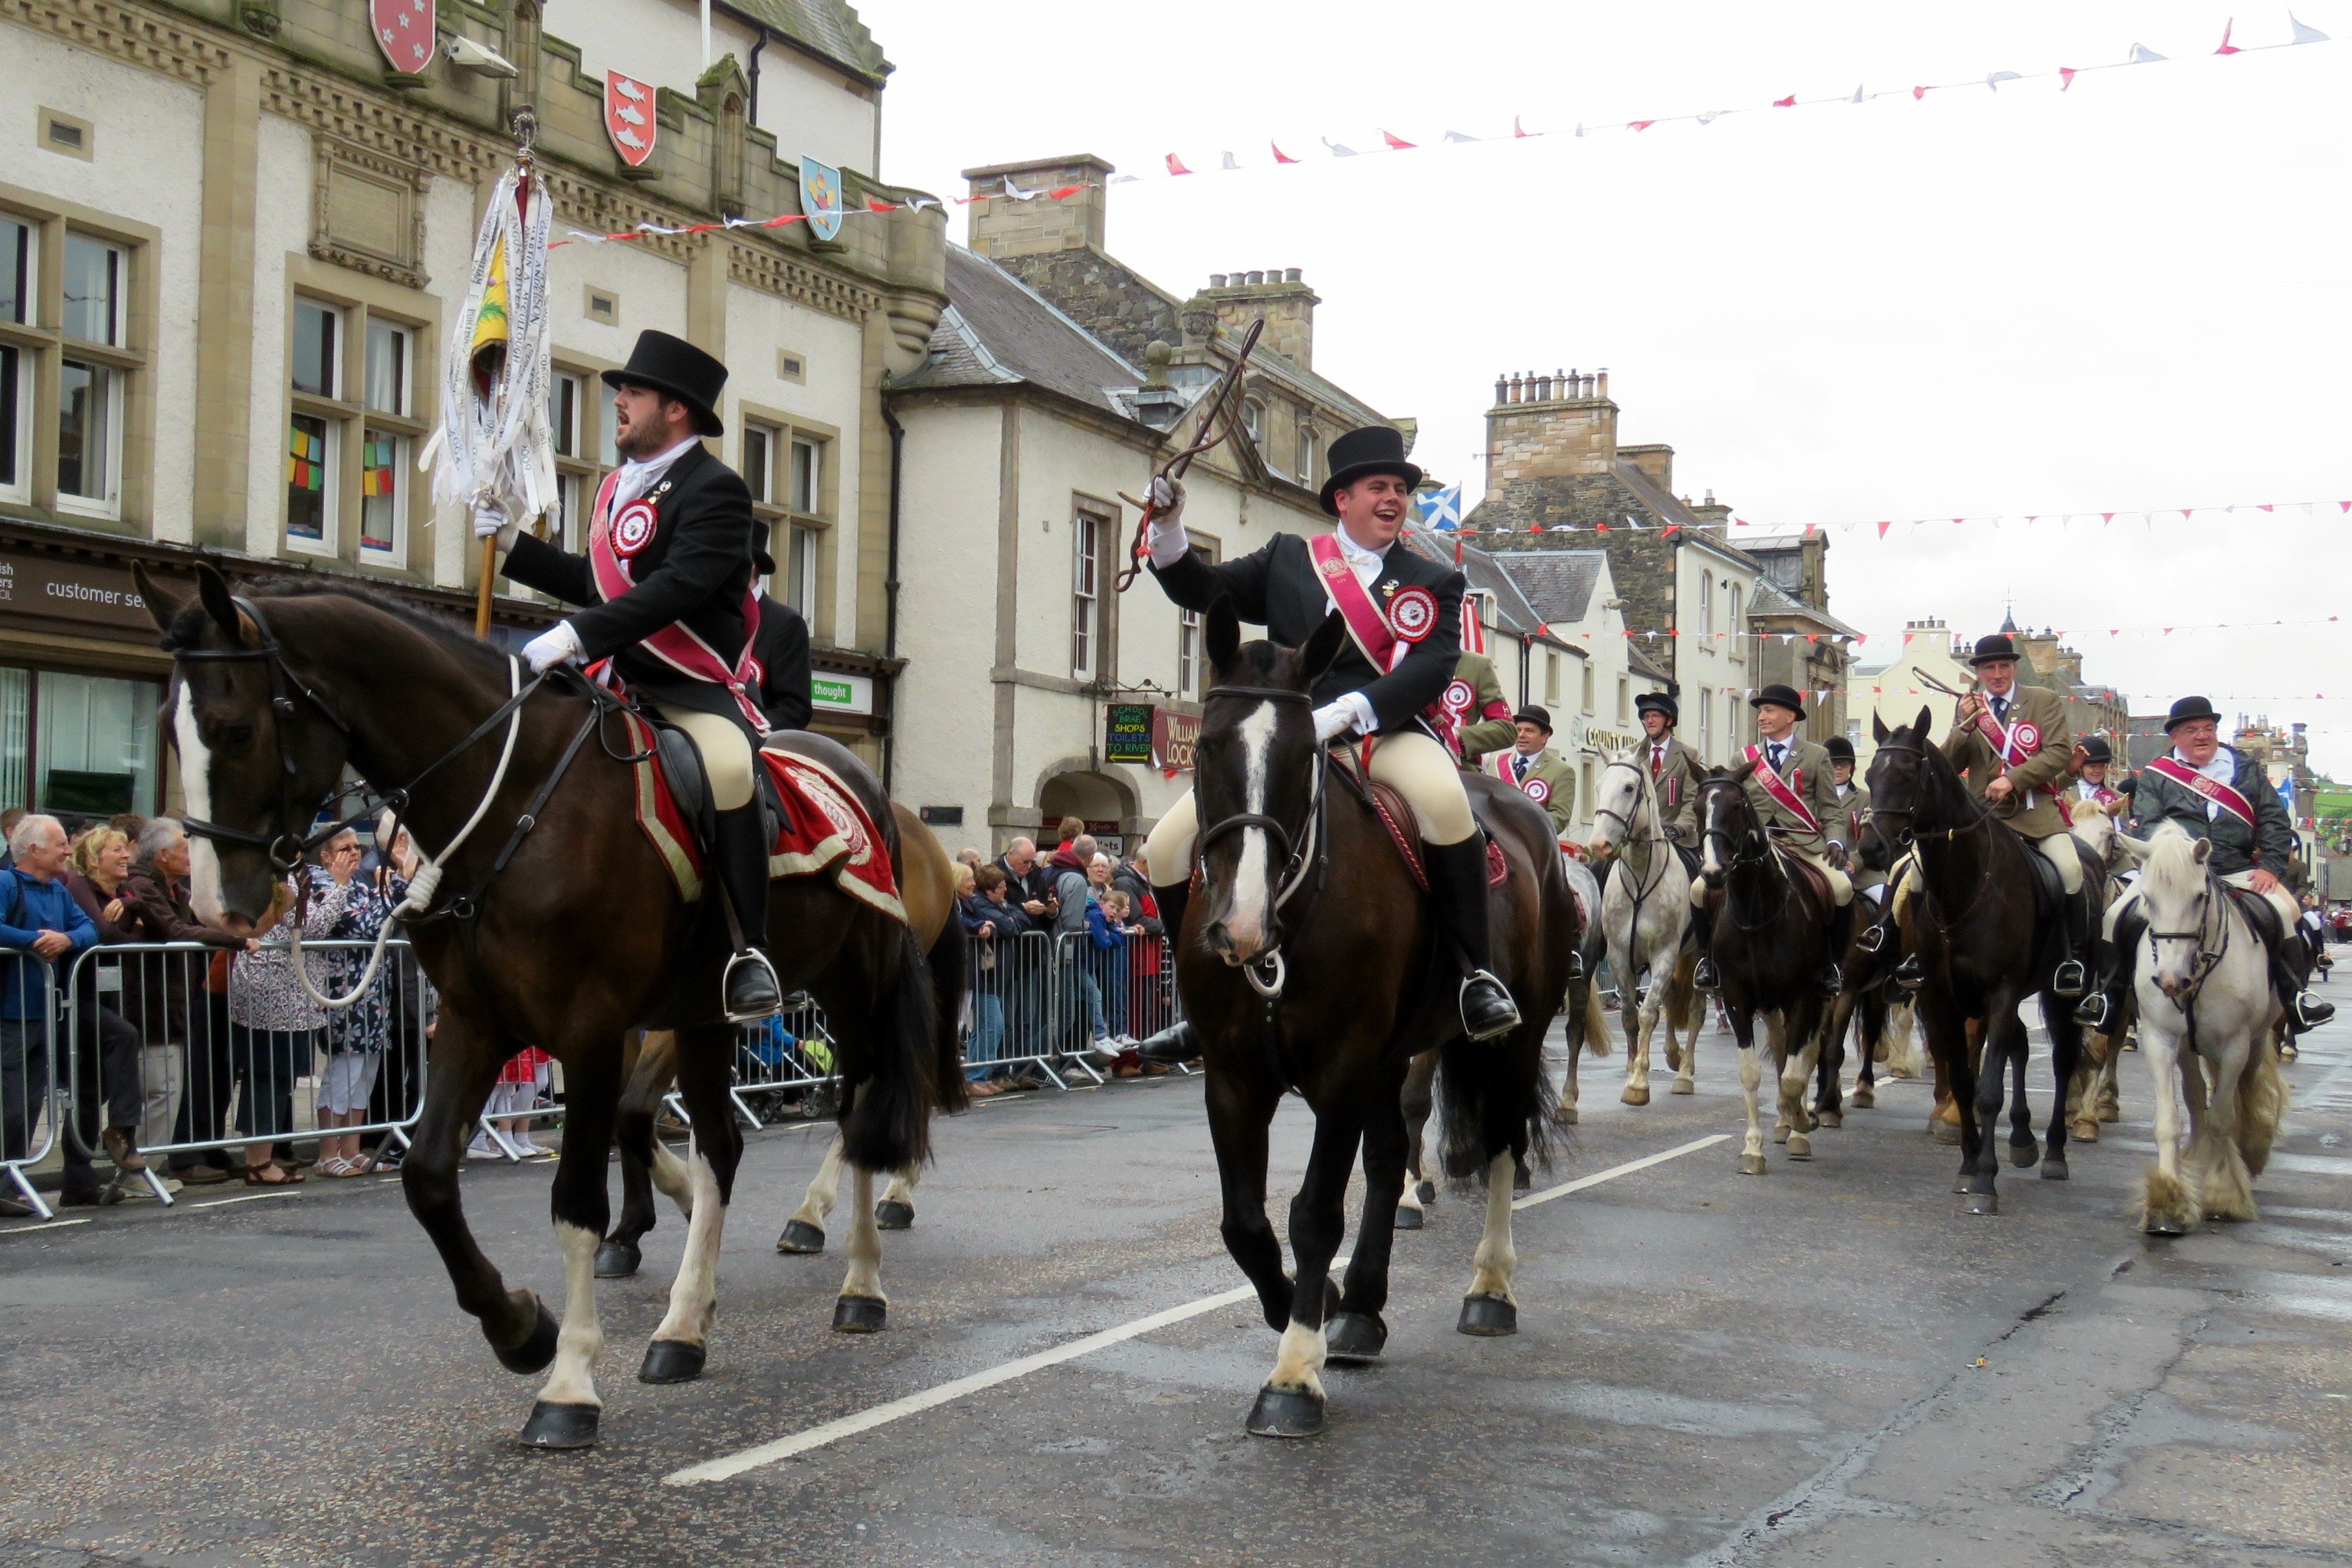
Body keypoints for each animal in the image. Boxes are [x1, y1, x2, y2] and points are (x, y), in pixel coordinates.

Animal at [139, 562, 964, 1448]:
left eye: (233, 731)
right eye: (167, 731)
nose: (221, 909)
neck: (516, 802)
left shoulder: (591, 1027)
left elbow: (576, 1200)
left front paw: (568, 1383)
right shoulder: (477, 1022)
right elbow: (429, 1178)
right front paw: (519, 1327)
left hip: (854, 989)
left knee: (863, 1112)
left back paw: (858, 1279)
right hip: (707, 1015)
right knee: (723, 1146)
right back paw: (683, 1328)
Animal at [1185, 602, 1571, 1438]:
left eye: (1304, 754)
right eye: (1204, 747)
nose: (1240, 929)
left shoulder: (1340, 1070)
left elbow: (1313, 1214)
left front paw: (1293, 1378)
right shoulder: (1232, 1075)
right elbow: (1243, 1222)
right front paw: (1313, 1304)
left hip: (1515, 1035)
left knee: (1500, 1142)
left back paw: (1489, 1290)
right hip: (1394, 1055)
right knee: (1393, 1154)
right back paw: (1360, 1310)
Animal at [1862, 710, 2107, 1212]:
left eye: (1908, 774)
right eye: (1870, 776)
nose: (1871, 848)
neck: (1966, 883)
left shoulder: (2001, 992)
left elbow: (1990, 1088)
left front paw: (1986, 1180)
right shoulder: (1941, 997)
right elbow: (1962, 1078)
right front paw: (1968, 1162)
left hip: (2058, 994)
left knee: (2062, 1061)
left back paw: (2054, 1153)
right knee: (2021, 1046)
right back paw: (2023, 1139)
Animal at [2126, 822, 2286, 1241]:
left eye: (2199, 897)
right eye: (2147, 898)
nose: (2170, 981)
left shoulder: (2234, 1045)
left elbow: (2222, 1118)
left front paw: (2221, 1193)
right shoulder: (2159, 1039)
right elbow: (2171, 1120)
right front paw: (2167, 1202)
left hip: (2255, 1040)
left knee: (2242, 1092)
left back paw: (2250, 1150)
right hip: (2188, 1048)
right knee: (2197, 1099)